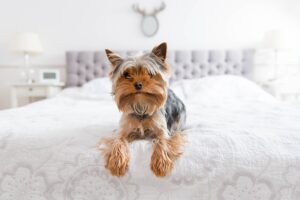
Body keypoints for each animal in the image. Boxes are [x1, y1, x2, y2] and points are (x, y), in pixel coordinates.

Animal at [99, 41, 186, 177]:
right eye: (126, 75)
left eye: (150, 73)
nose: (138, 84)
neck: (141, 107)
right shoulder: (122, 131)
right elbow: (117, 141)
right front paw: (117, 162)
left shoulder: (164, 132)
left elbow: (163, 141)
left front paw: (161, 163)